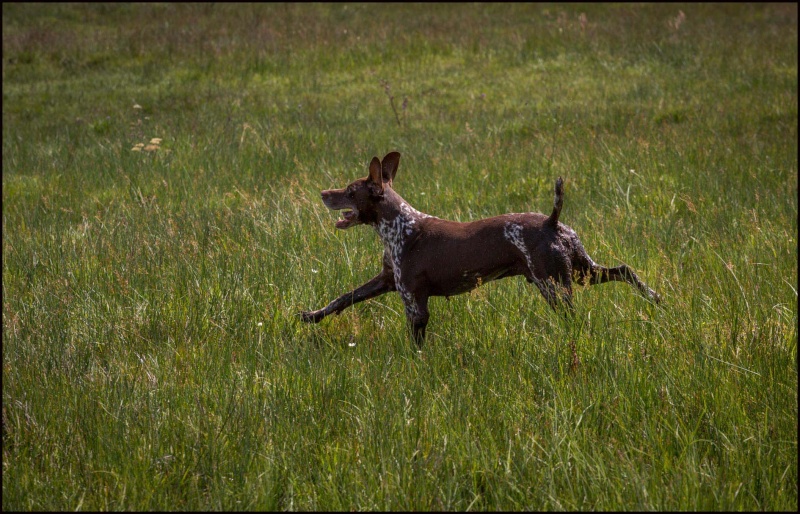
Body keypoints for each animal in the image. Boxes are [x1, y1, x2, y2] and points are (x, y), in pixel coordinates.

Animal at [302, 151, 664, 344]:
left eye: (350, 191)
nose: (322, 193)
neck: (399, 225)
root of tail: (551, 221)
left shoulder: (415, 304)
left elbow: (415, 344)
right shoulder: (386, 281)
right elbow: (342, 299)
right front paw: (312, 315)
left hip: (554, 285)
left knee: (576, 316)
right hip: (581, 272)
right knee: (625, 270)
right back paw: (655, 297)